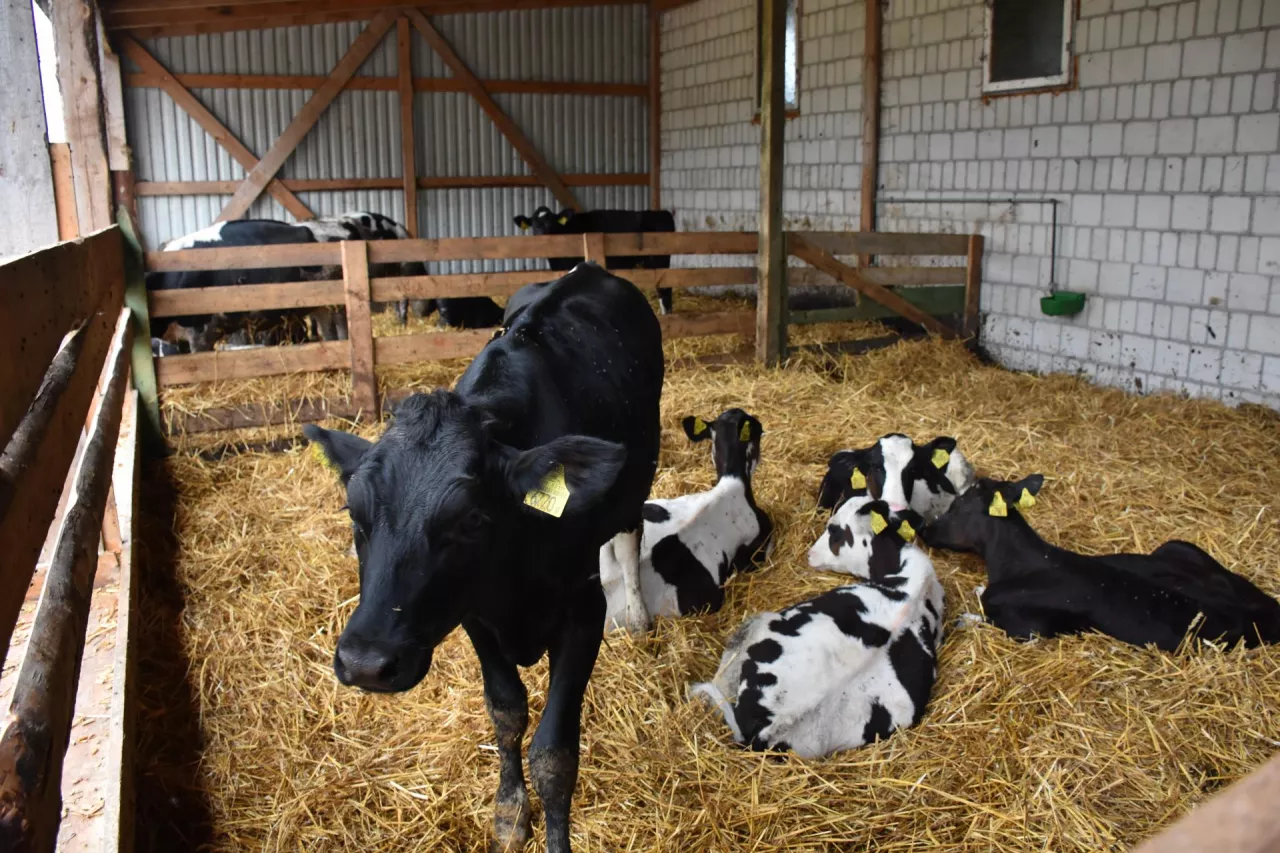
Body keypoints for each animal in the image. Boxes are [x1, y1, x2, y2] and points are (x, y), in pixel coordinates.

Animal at [304, 262, 664, 853]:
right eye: (354, 514)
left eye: (470, 520)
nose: (365, 664)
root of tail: (589, 267)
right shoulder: (473, 614)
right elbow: (507, 710)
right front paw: (509, 813)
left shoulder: (583, 611)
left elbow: (555, 755)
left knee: (630, 530)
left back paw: (634, 613)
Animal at [513, 206, 678, 315]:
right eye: (534, 224)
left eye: (551, 223)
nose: (542, 237)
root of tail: (662, 213)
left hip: (659, 260)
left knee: (665, 289)